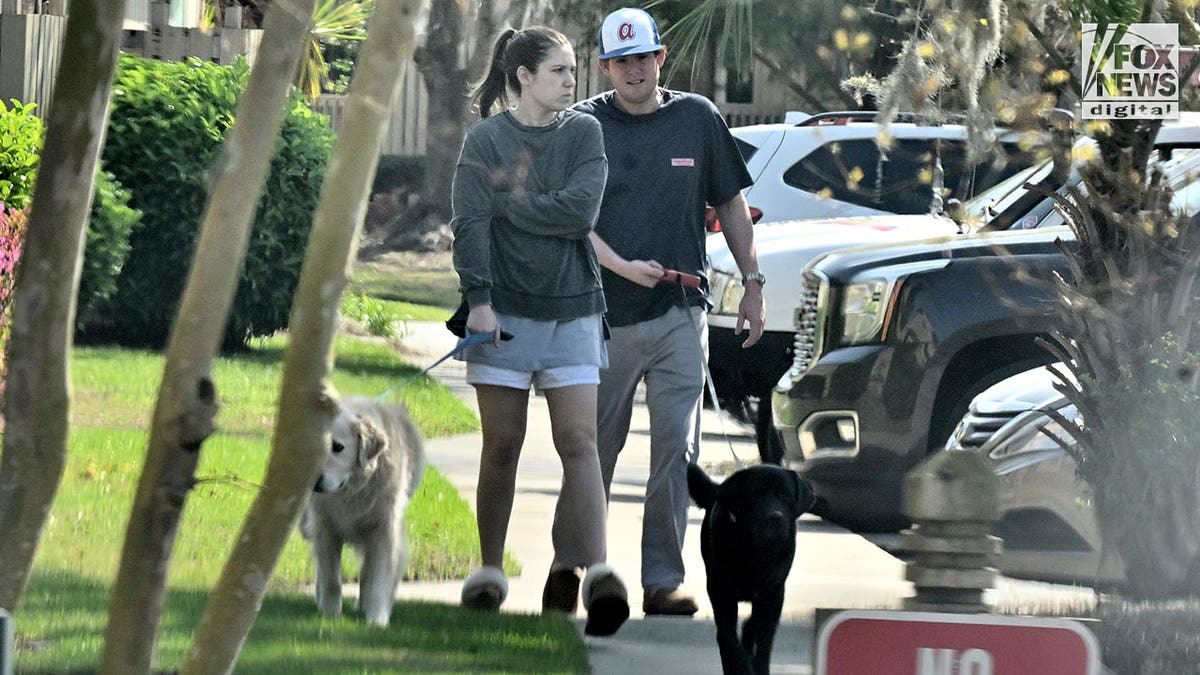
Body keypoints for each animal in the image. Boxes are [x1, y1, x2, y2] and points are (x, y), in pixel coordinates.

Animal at [300, 393, 427, 624]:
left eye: (338, 447)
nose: (314, 482)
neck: (352, 491)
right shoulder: (325, 527)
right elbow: (331, 577)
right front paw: (329, 613)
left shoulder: (383, 529)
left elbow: (378, 577)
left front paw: (377, 617)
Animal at [691, 461, 820, 672]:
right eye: (754, 495)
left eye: (786, 496)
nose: (775, 517)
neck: (755, 551)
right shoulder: (721, 593)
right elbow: (729, 639)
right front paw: (741, 666)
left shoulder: (774, 593)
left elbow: (764, 640)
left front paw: (757, 665)